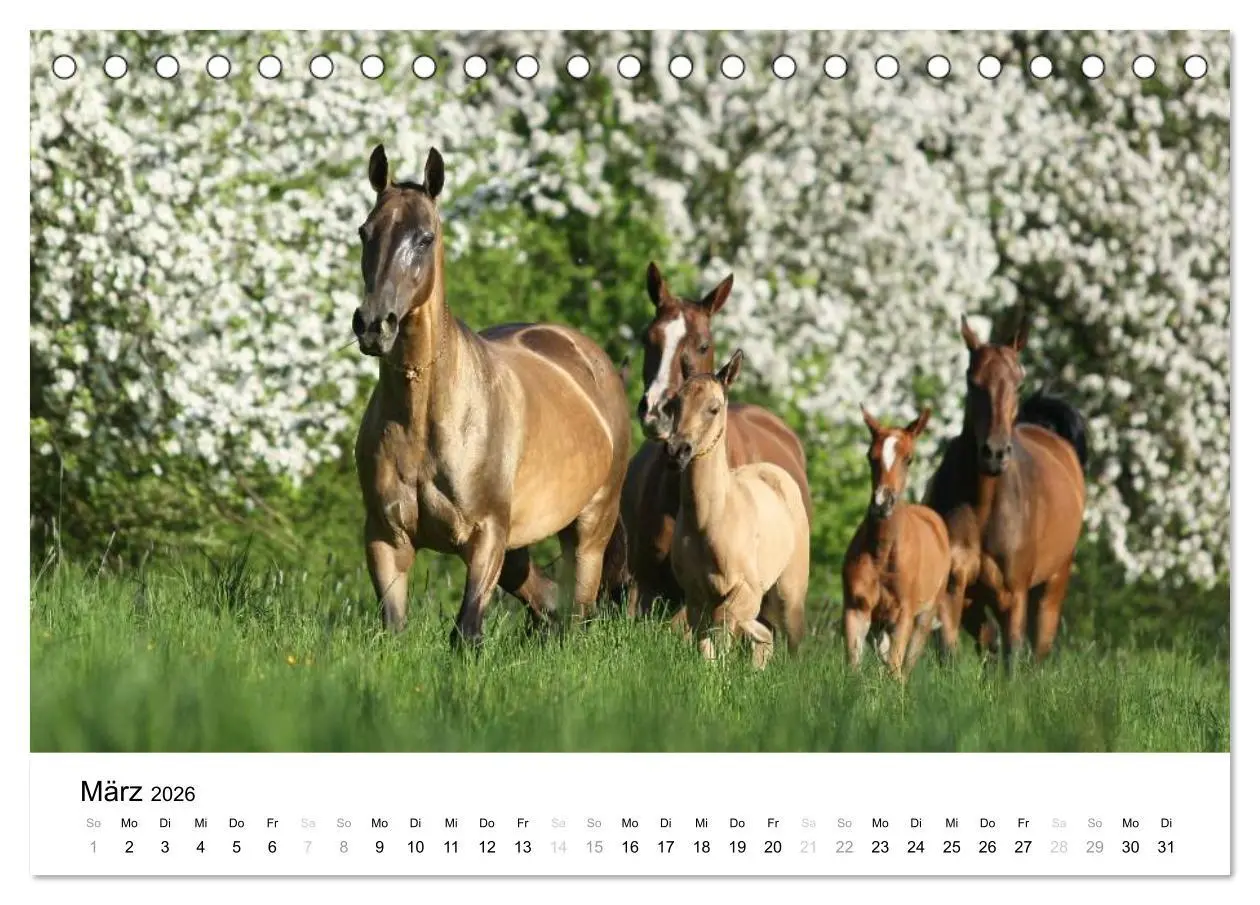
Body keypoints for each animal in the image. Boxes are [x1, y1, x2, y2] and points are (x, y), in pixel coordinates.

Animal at [351, 144, 632, 647]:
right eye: (366, 232)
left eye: (425, 237)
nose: (373, 325)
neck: (424, 420)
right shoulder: (385, 537)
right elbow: (394, 628)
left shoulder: (486, 537)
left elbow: (466, 631)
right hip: (521, 547)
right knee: (547, 600)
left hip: (589, 528)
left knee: (578, 614)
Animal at [663, 350, 809, 668]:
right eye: (675, 404)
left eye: (714, 408)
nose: (677, 451)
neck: (710, 521)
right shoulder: (696, 595)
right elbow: (706, 643)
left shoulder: (746, 590)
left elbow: (724, 625)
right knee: (765, 637)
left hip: (790, 593)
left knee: (792, 641)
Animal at [842, 406, 950, 680]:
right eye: (871, 457)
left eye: (909, 459)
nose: (882, 503)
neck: (882, 555)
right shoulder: (856, 609)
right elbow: (854, 666)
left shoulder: (903, 615)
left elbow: (895, 667)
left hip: (924, 617)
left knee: (906, 664)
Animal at [925, 315, 1088, 667]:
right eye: (973, 382)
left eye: (1019, 384)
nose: (995, 453)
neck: (983, 508)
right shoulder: (955, 590)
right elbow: (951, 650)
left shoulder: (1014, 596)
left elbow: (1012, 657)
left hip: (1052, 587)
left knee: (1038, 650)